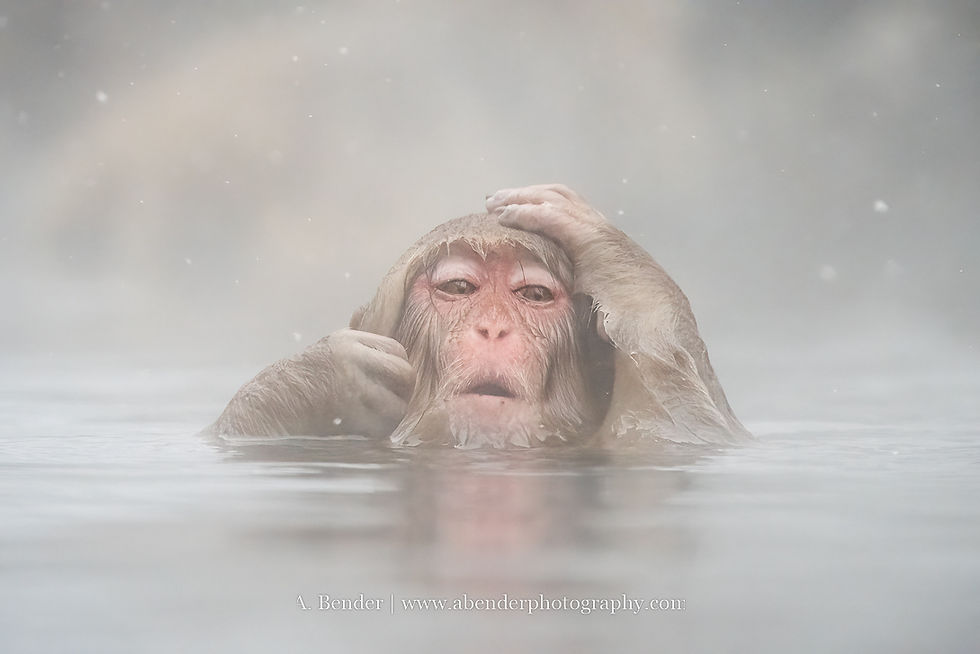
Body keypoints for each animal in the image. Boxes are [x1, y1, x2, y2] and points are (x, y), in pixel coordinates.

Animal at [209, 184, 748, 447]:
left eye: (533, 294)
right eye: (458, 288)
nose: (492, 327)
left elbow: (683, 433)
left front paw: (608, 250)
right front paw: (333, 376)